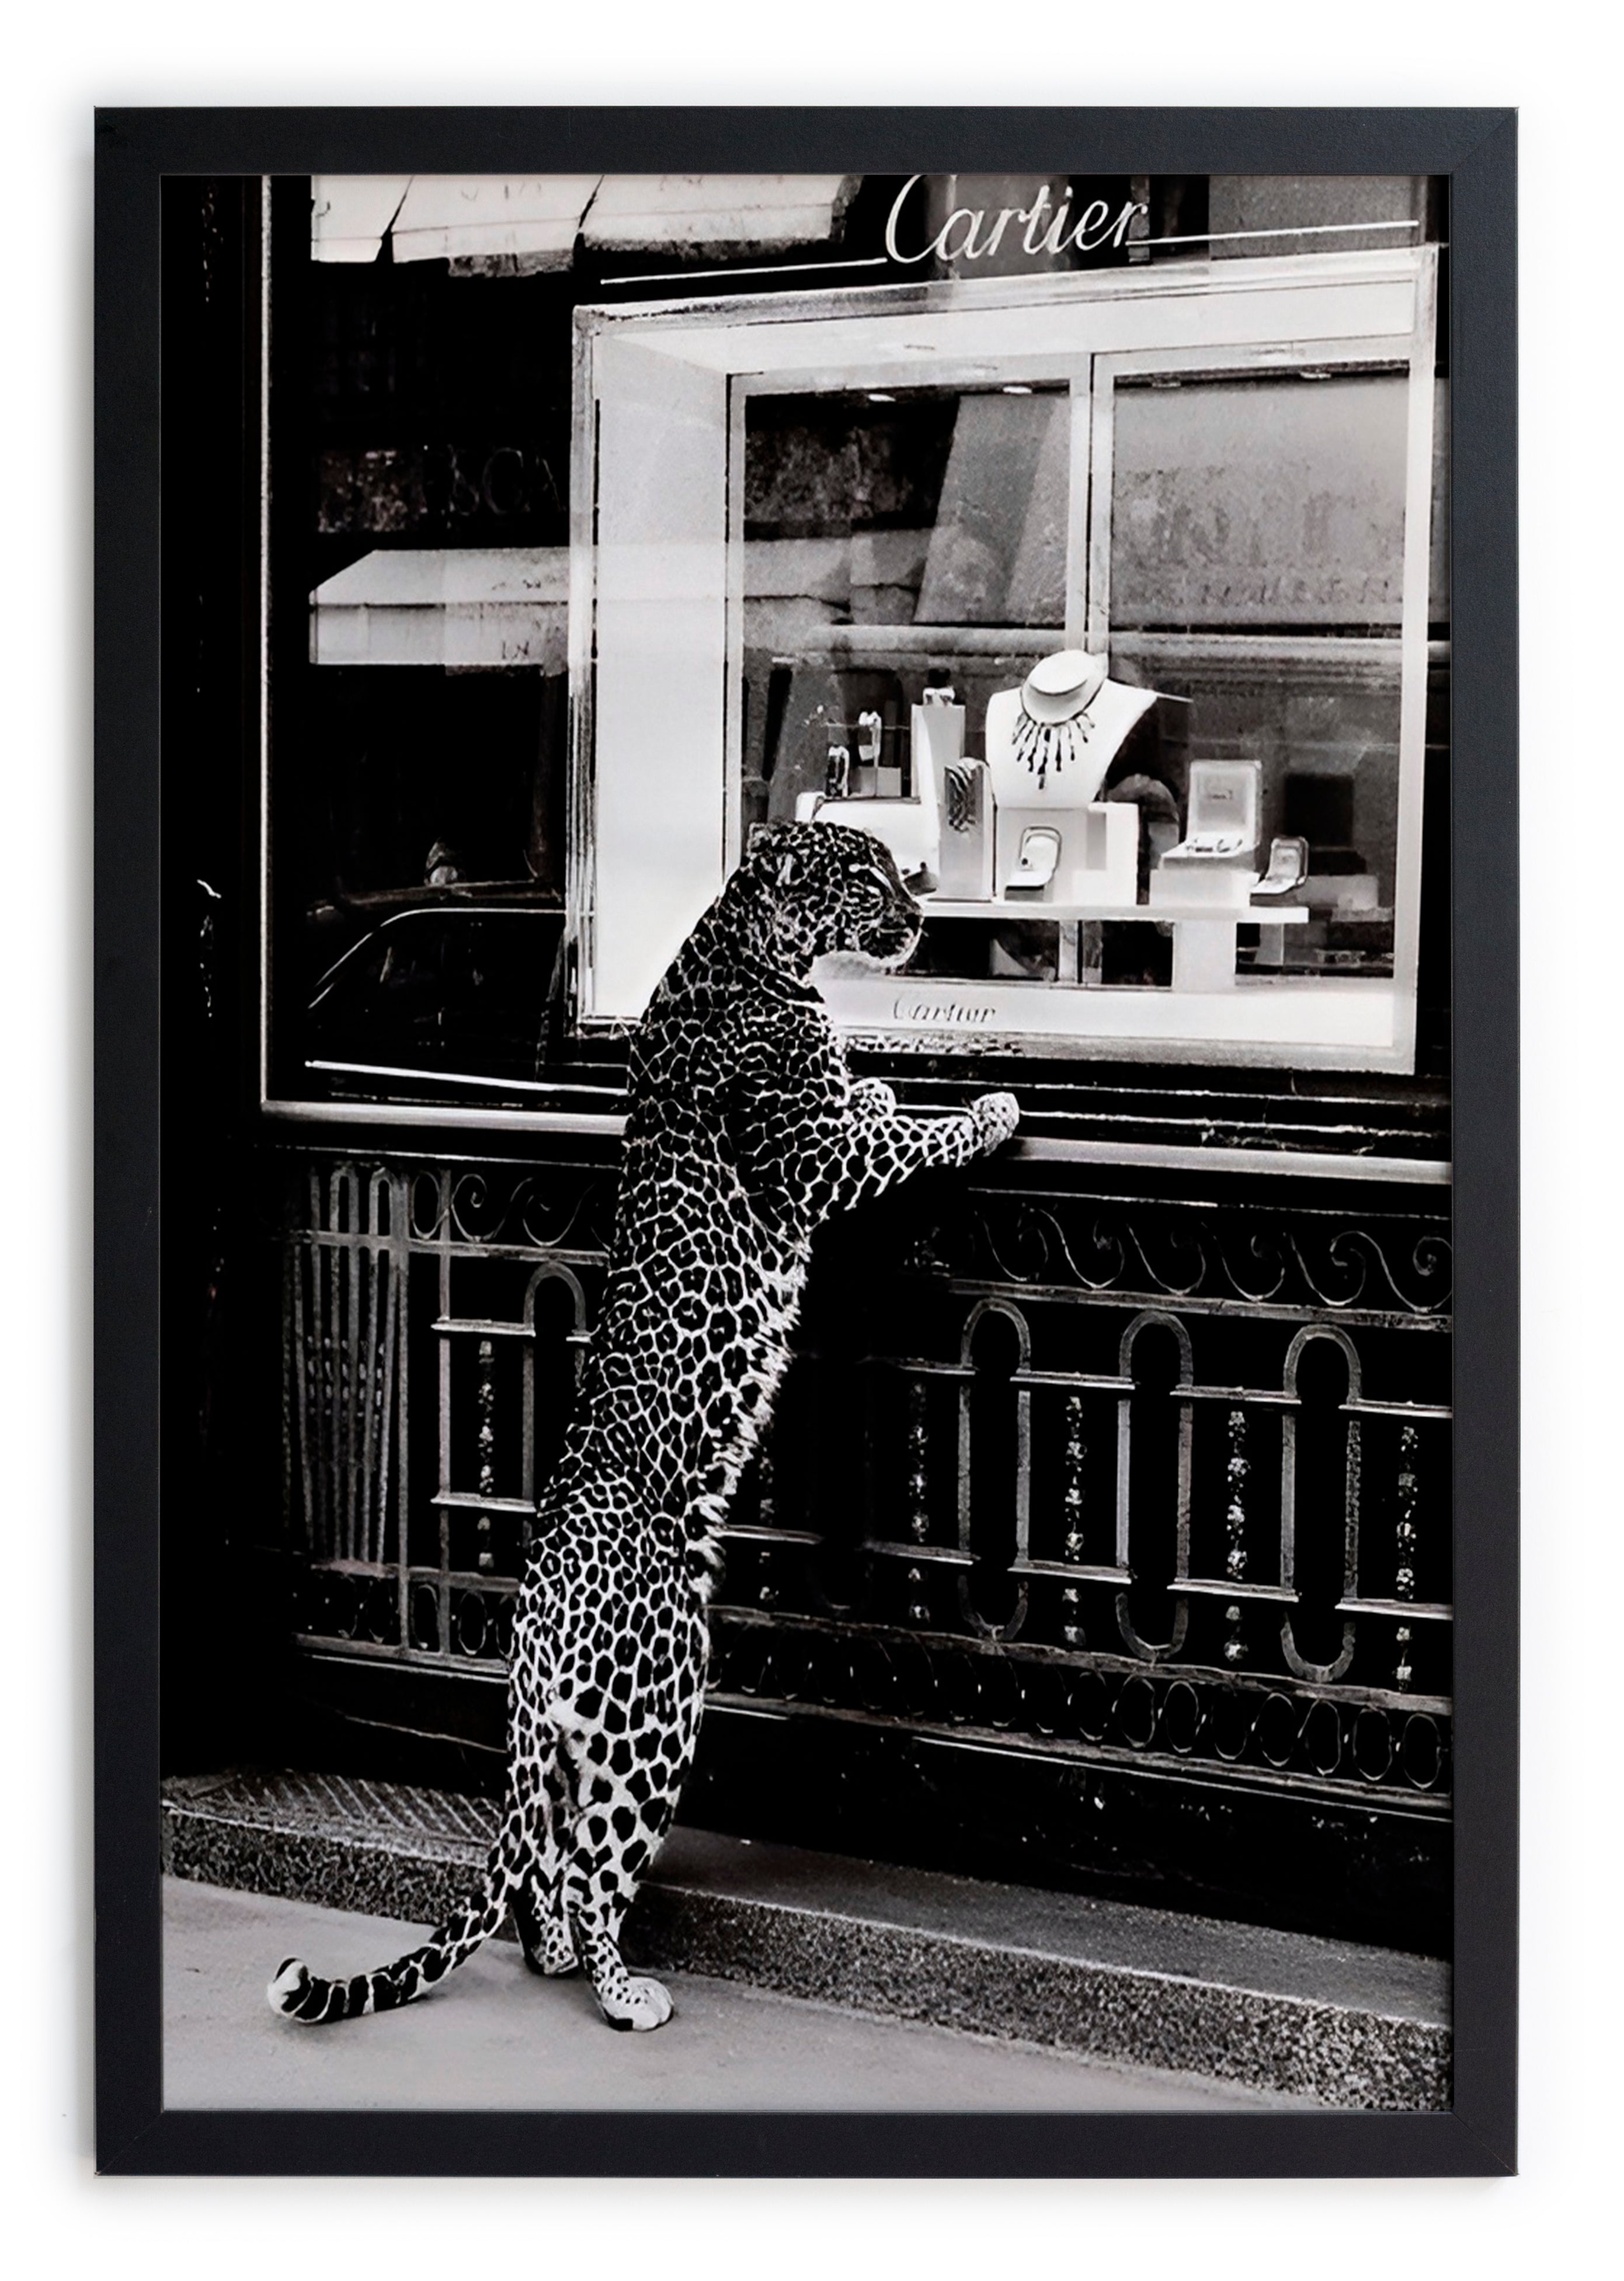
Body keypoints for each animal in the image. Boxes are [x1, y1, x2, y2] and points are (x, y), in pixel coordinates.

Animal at [268, 819, 1019, 2033]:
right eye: (865, 875)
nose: (920, 916)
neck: (751, 948)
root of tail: (528, 1639)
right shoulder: (811, 1161)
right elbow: (905, 1141)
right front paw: (982, 1114)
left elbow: (867, 1107)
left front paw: (884, 1084)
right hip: (652, 1714)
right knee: (591, 1868)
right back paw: (625, 1993)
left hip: (578, 1748)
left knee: (546, 1869)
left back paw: (561, 1958)